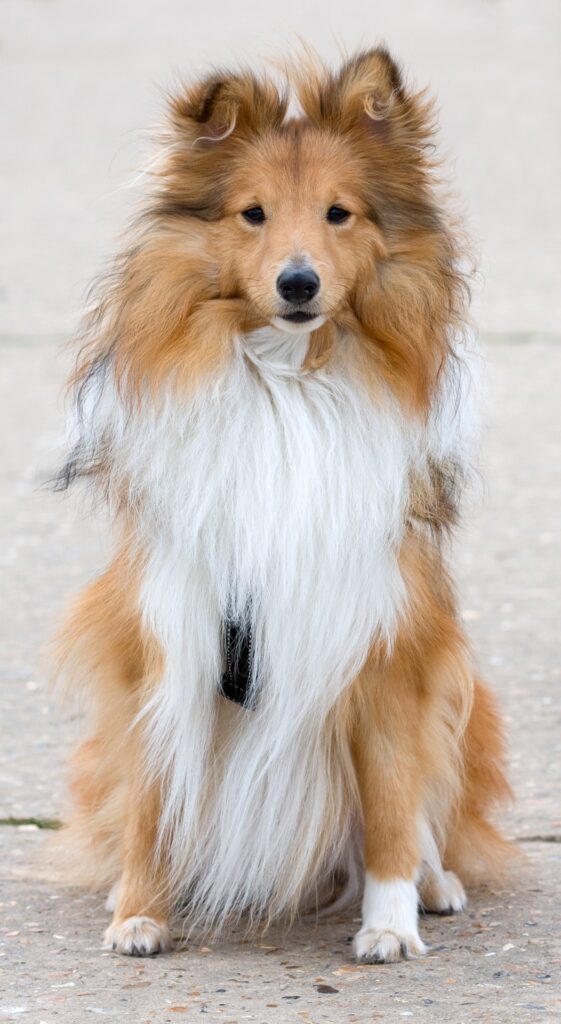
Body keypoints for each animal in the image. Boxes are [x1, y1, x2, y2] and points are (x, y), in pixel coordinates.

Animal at [54, 48, 515, 958]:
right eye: (252, 214)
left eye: (339, 214)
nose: (297, 283)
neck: (287, 386)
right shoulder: (169, 628)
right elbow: (152, 794)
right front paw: (137, 912)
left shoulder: (385, 639)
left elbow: (391, 803)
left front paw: (388, 923)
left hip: (458, 685)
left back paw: (434, 885)